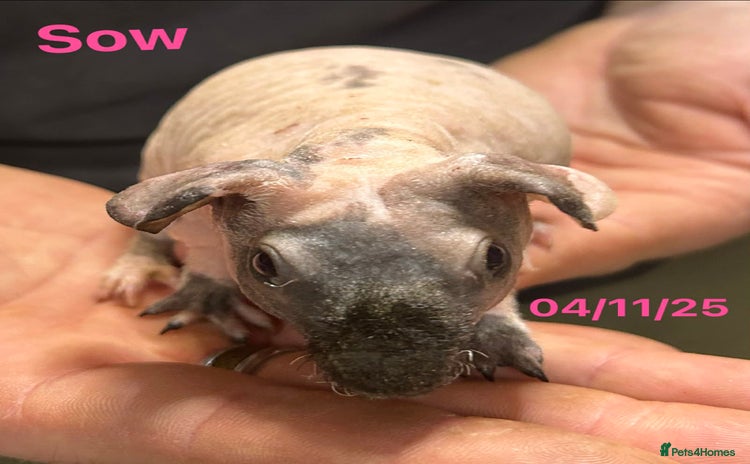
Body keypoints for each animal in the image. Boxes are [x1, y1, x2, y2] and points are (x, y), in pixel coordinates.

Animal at [99, 46, 616, 398]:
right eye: (264, 267)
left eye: (496, 259)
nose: (390, 376)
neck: (368, 132)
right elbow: (200, 239)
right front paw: (209, 295)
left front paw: (497, 331)